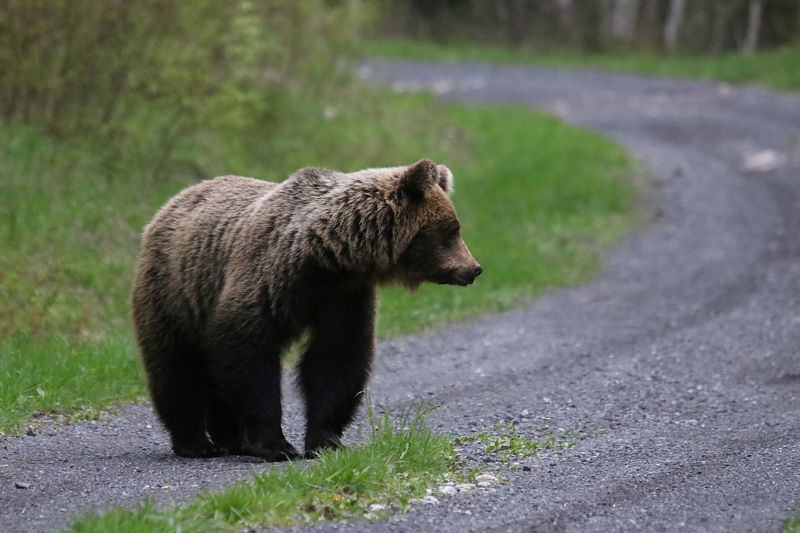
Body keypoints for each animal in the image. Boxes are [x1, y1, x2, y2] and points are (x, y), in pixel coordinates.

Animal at [131, 157, 482, 458]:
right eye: (452, 230)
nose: (474, 269)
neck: (329, 254)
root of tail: (171, 203)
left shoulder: (344, 295)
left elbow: (336, 358)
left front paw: (325, 440)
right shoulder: (270, 276)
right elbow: (248, 351)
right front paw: (276, 444)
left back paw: (228, 438)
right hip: (174, 293)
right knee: (176, 367)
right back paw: (196, 443)